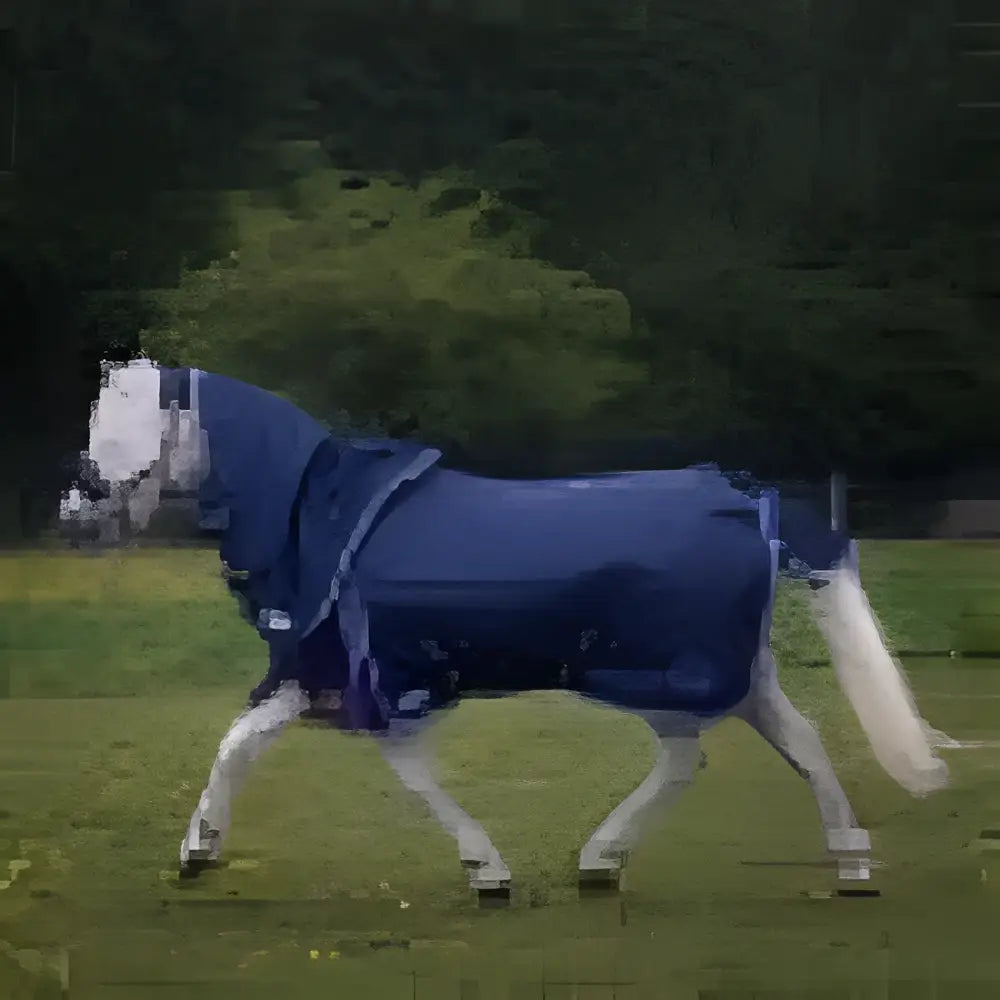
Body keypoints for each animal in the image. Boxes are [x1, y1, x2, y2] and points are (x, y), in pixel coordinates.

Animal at [66, 358, 950, 903]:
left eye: (126, 421)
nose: (74, 514)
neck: (319, 518)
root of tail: (744, 497)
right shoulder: (335, 674)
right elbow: (244, 745)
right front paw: (197, 853)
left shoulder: (369, 679)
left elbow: (389, 773)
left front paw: (487, 872)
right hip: (732, 670)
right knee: (800, 742)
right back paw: (851, 864)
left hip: (661, 675)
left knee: (689, 759)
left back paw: (602, 859)